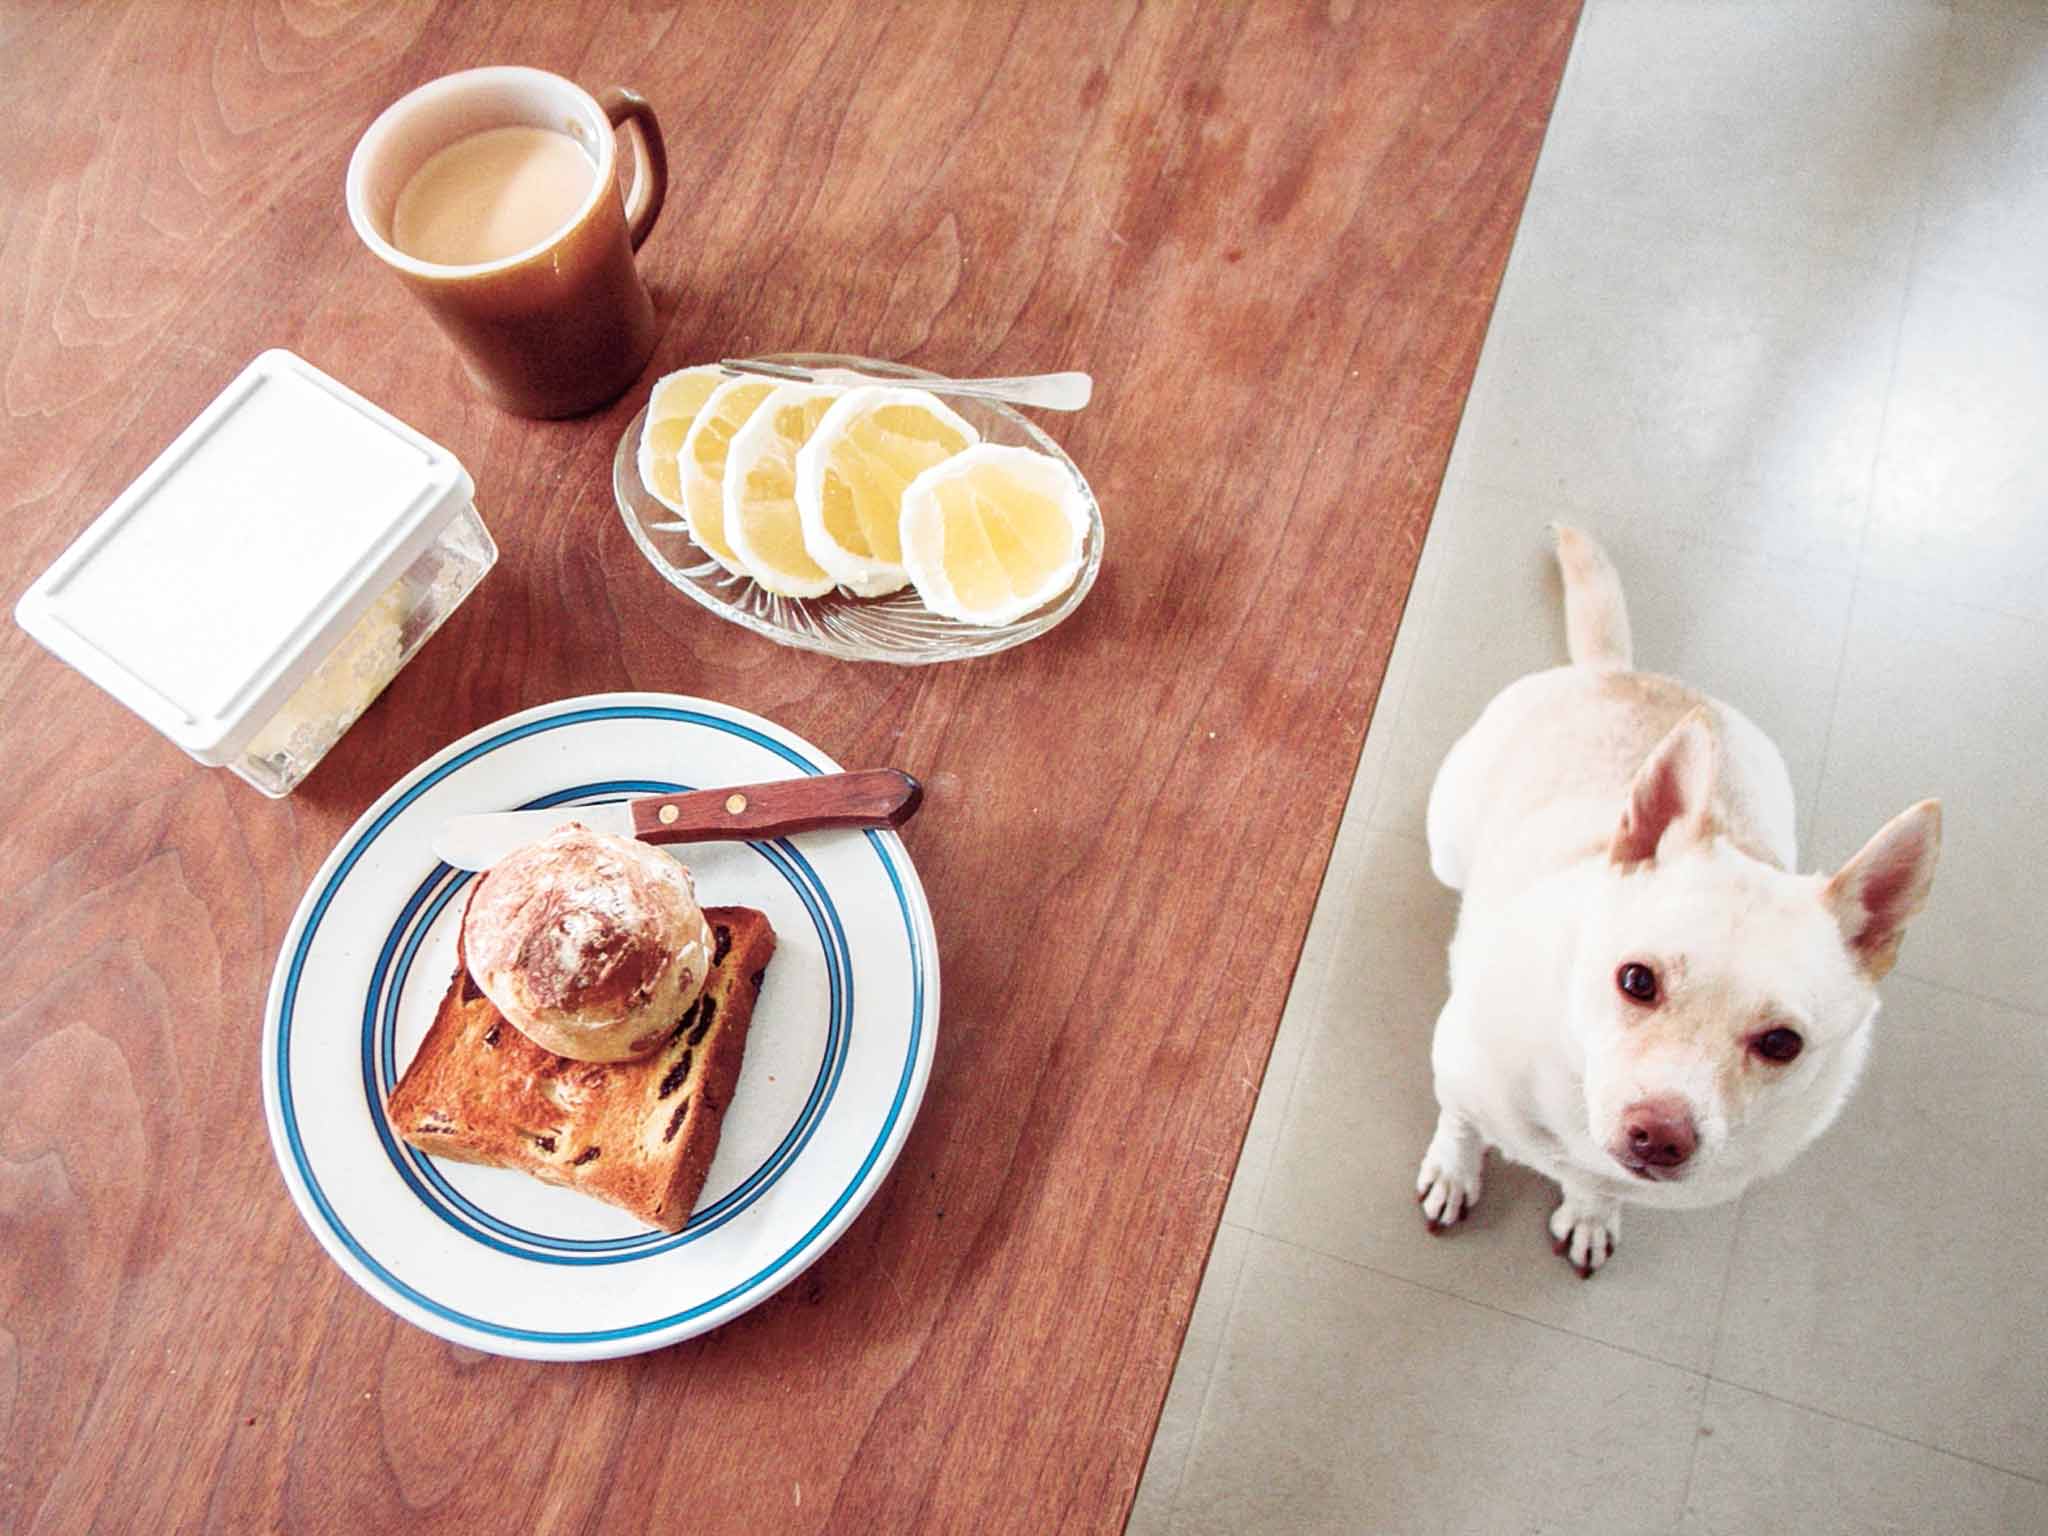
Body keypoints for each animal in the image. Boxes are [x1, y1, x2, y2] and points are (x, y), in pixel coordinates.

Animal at [1417, 528, 1941, 1277]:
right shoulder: (1458, 1066)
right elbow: (1460, 1121)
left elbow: (1598, 1185)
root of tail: (1621, 670)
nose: (1660, 1136)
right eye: (1637, 981)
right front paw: (1454, 1172)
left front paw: (1590, 1213)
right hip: (1447, 840)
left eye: (1782, 1043)